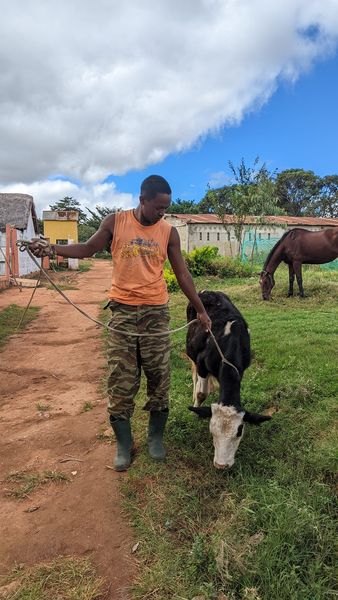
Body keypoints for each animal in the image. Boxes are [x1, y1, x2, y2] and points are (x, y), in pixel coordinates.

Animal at [186, 290, 270, 468]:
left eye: (239, 431)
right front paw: (196, 410)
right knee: (194, 373)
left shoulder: (241, 369)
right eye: (212, 431)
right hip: (191, 350)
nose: (221, 465)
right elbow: (201, 393)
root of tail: (208, 291)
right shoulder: (201, 363)